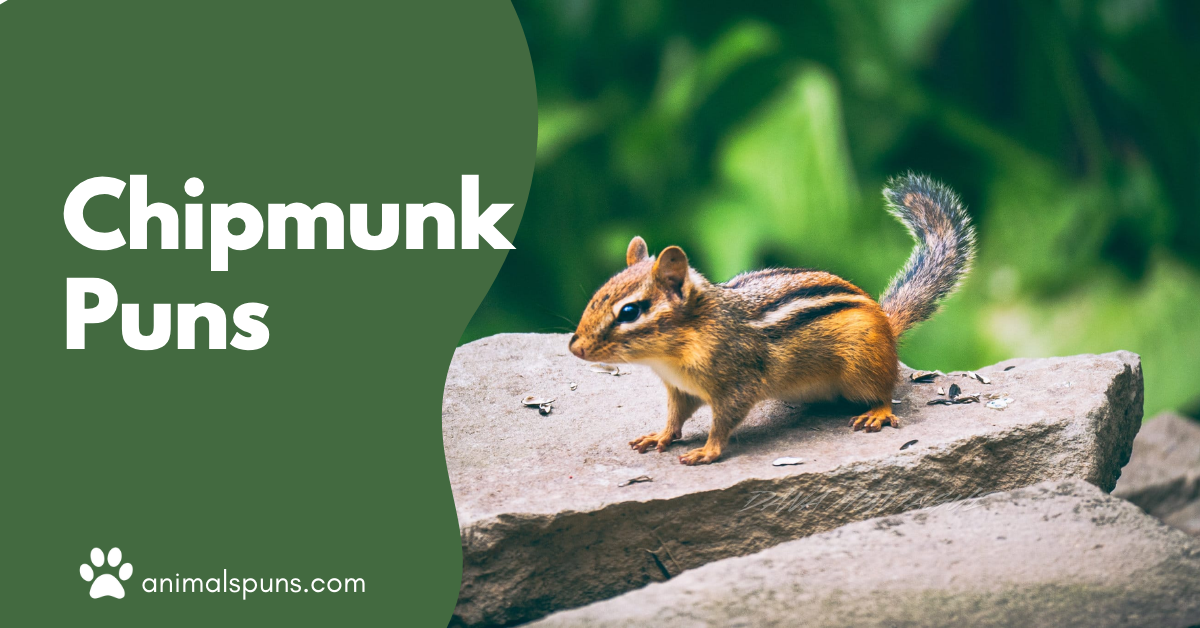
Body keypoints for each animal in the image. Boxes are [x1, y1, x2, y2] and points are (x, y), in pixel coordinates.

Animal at [569, 173, 976, 465]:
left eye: (629, 311)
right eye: (598, 294)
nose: (574, 348)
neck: (674, 352)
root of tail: (885, 322)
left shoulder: (738, 383)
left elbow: (723, 421)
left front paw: (708, 450)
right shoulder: (680, 389)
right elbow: (675, 417)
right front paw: (660, 435)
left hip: (863, 366)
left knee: (885, 392)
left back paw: (877, 412)